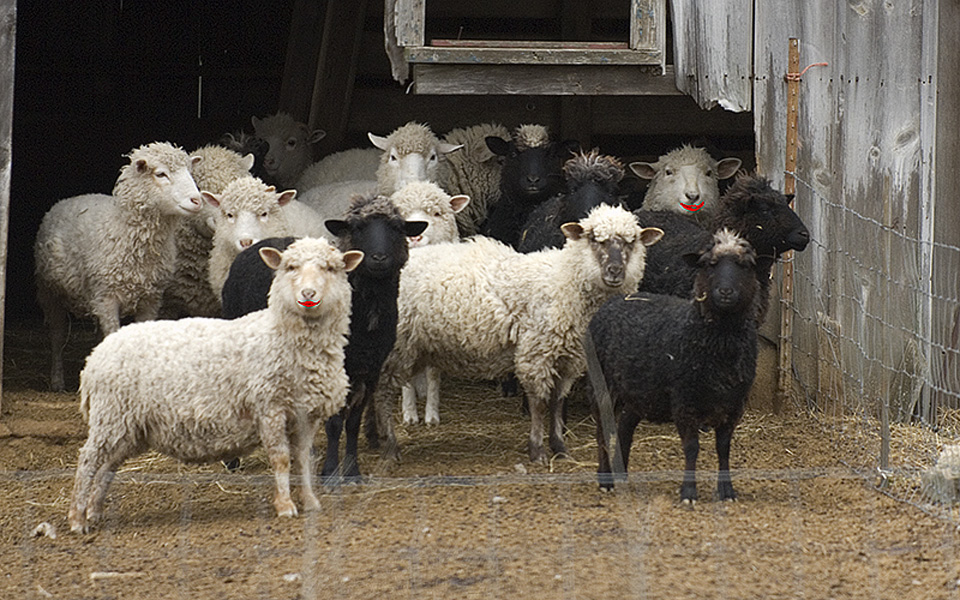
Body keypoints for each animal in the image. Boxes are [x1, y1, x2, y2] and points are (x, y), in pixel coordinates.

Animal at [34, 142, 203, 392]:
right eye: (161, 174)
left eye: (190, 173)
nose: (197, 200)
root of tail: (68, 199)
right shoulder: (106, 298)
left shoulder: (150, 299)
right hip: (49, 292)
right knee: (57, 335)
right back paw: (57, 381)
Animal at [68, 237, 362, 533]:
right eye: (290, 267)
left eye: (330, 268)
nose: (308, 294)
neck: (280, 335)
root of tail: (95, 357)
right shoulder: (270, 407)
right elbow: (280, 459)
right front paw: (285, 506)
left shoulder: (305, 415)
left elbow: (303, 458)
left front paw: (310, 501)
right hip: (111, 416)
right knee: (88, 460)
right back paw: (78, 518)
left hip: (129, 427)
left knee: (107, 467)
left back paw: (95, 511)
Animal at [220, 196, 427, 482]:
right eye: (358, 228)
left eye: (397, 228)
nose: (378, 258)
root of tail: (260, 244)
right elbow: (335, 422)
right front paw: (330, 472)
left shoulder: (370, 369)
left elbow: (353, 422)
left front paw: (352, 471)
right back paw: (233, 460)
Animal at [371, 204, 664, 464]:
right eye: (594, 239)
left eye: (632, 241)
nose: (615, 271)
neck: (564, 281)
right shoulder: (537, 352)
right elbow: (540, 404)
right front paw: (537, 451)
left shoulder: (569, 357)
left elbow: (558, 402)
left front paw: (560, 448)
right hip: (397, 346)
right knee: (382, 394)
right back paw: (390, 448)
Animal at [586, 229, 760, 504]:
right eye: (709, 265)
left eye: (745, 265)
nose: (725, 291)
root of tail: (614, 300)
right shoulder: (684, 401)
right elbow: (692, 448)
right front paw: (688, 492)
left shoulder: (733, 405)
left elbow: (723, 449)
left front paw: (727, 491)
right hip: (601, 385)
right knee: (603, 430)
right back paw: (606, 480)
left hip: (638, 392)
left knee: (625, 427)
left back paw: (622, 475)